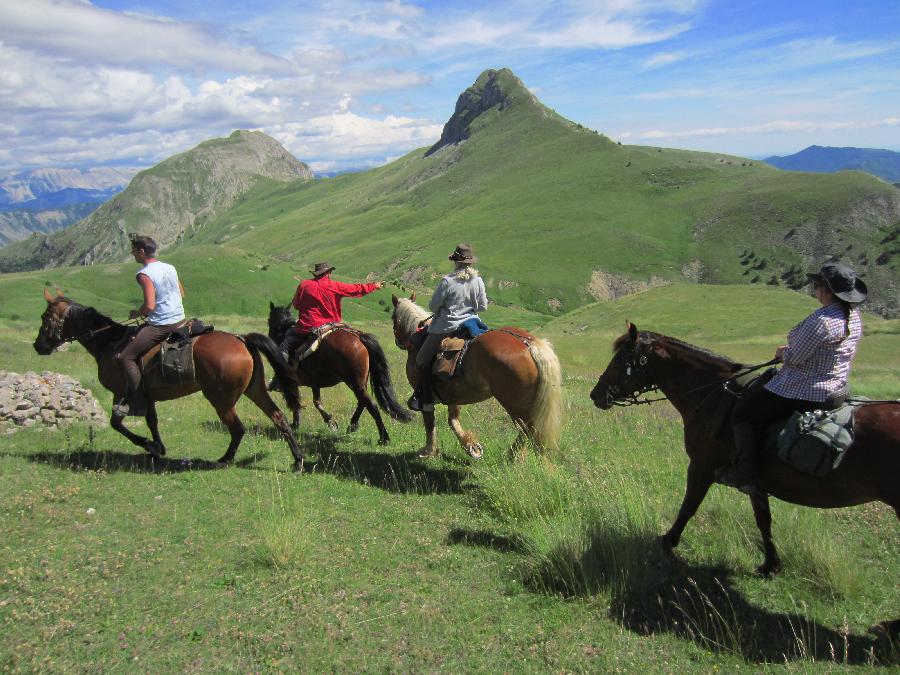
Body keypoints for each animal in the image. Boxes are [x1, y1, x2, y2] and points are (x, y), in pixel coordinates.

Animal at [34, 290, 306, 470]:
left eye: (45, 316)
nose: (39, 346)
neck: (109, 343)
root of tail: (241, 339)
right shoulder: (146, 395)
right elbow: (152, 421)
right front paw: (157, 447)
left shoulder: (121, 392)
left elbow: (116, 423)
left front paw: (148, 445)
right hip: (255, 389)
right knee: (278, 417)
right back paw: (298, 459)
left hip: (221, 399)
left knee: (238, 428)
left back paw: (225, 459)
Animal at [266, 304, 410, 446]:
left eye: (269, 320)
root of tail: (358, 336)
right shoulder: (314, 383)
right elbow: (316, 402)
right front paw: (330, 422)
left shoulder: (292, 383)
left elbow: (295, 402)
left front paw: (296, 424)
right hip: (360, 383)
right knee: (362, 402)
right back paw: (353, 425)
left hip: (354, 383)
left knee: (371, 405)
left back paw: (383, 438)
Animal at [388, 296, 564, 460]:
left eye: (393, 317)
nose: (398, 342)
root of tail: (528, 343)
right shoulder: (452, 394)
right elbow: (453, 420)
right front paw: (470, 446)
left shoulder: (425, 395)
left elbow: (430, 422)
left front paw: (428, 451)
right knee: (530, 430)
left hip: (515, 405)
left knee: (528, 429)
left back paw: (511, 456)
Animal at [592, 324, 900, 580]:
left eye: (622, 359)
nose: (596, 395)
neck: (713, 396)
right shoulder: (755, 480)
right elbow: (763, 520)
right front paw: (770, 565)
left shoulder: (702, 466)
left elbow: (689, 506)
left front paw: (667, 541)